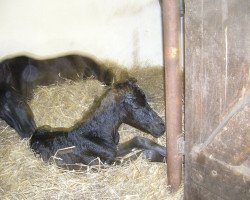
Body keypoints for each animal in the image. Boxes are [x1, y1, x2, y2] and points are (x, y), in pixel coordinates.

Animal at [29, 79, 166, 169]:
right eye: (136, 106)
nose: (162, 127)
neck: (97, 133)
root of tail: (33, 137)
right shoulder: (104, 164)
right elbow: (141, 155)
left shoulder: (113, 149)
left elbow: (139, 140)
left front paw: (166, 151)